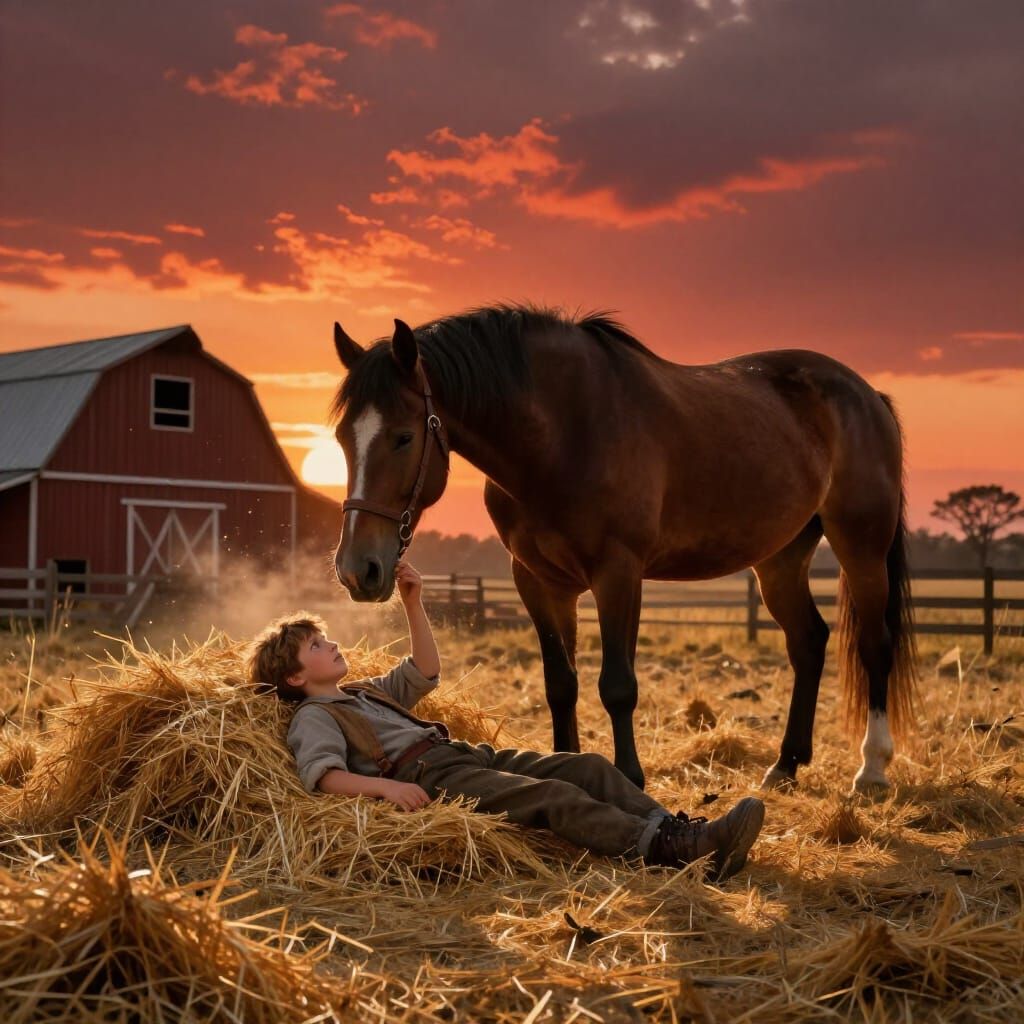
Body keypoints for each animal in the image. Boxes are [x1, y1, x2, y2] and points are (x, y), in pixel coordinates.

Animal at [328, 305, 917, 794]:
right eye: (341, 438)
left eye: (404, 436)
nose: (359, 570)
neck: (564, 436)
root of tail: (868, 396)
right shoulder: (538, 581)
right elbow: (560, 683)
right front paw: (568, 762)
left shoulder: (618, 573)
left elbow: (617, 685)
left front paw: (630, 776)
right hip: (780, 558)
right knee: (808, 642)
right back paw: (786, 765)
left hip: (861, 545)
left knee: (874, 644)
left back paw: (872, 769)